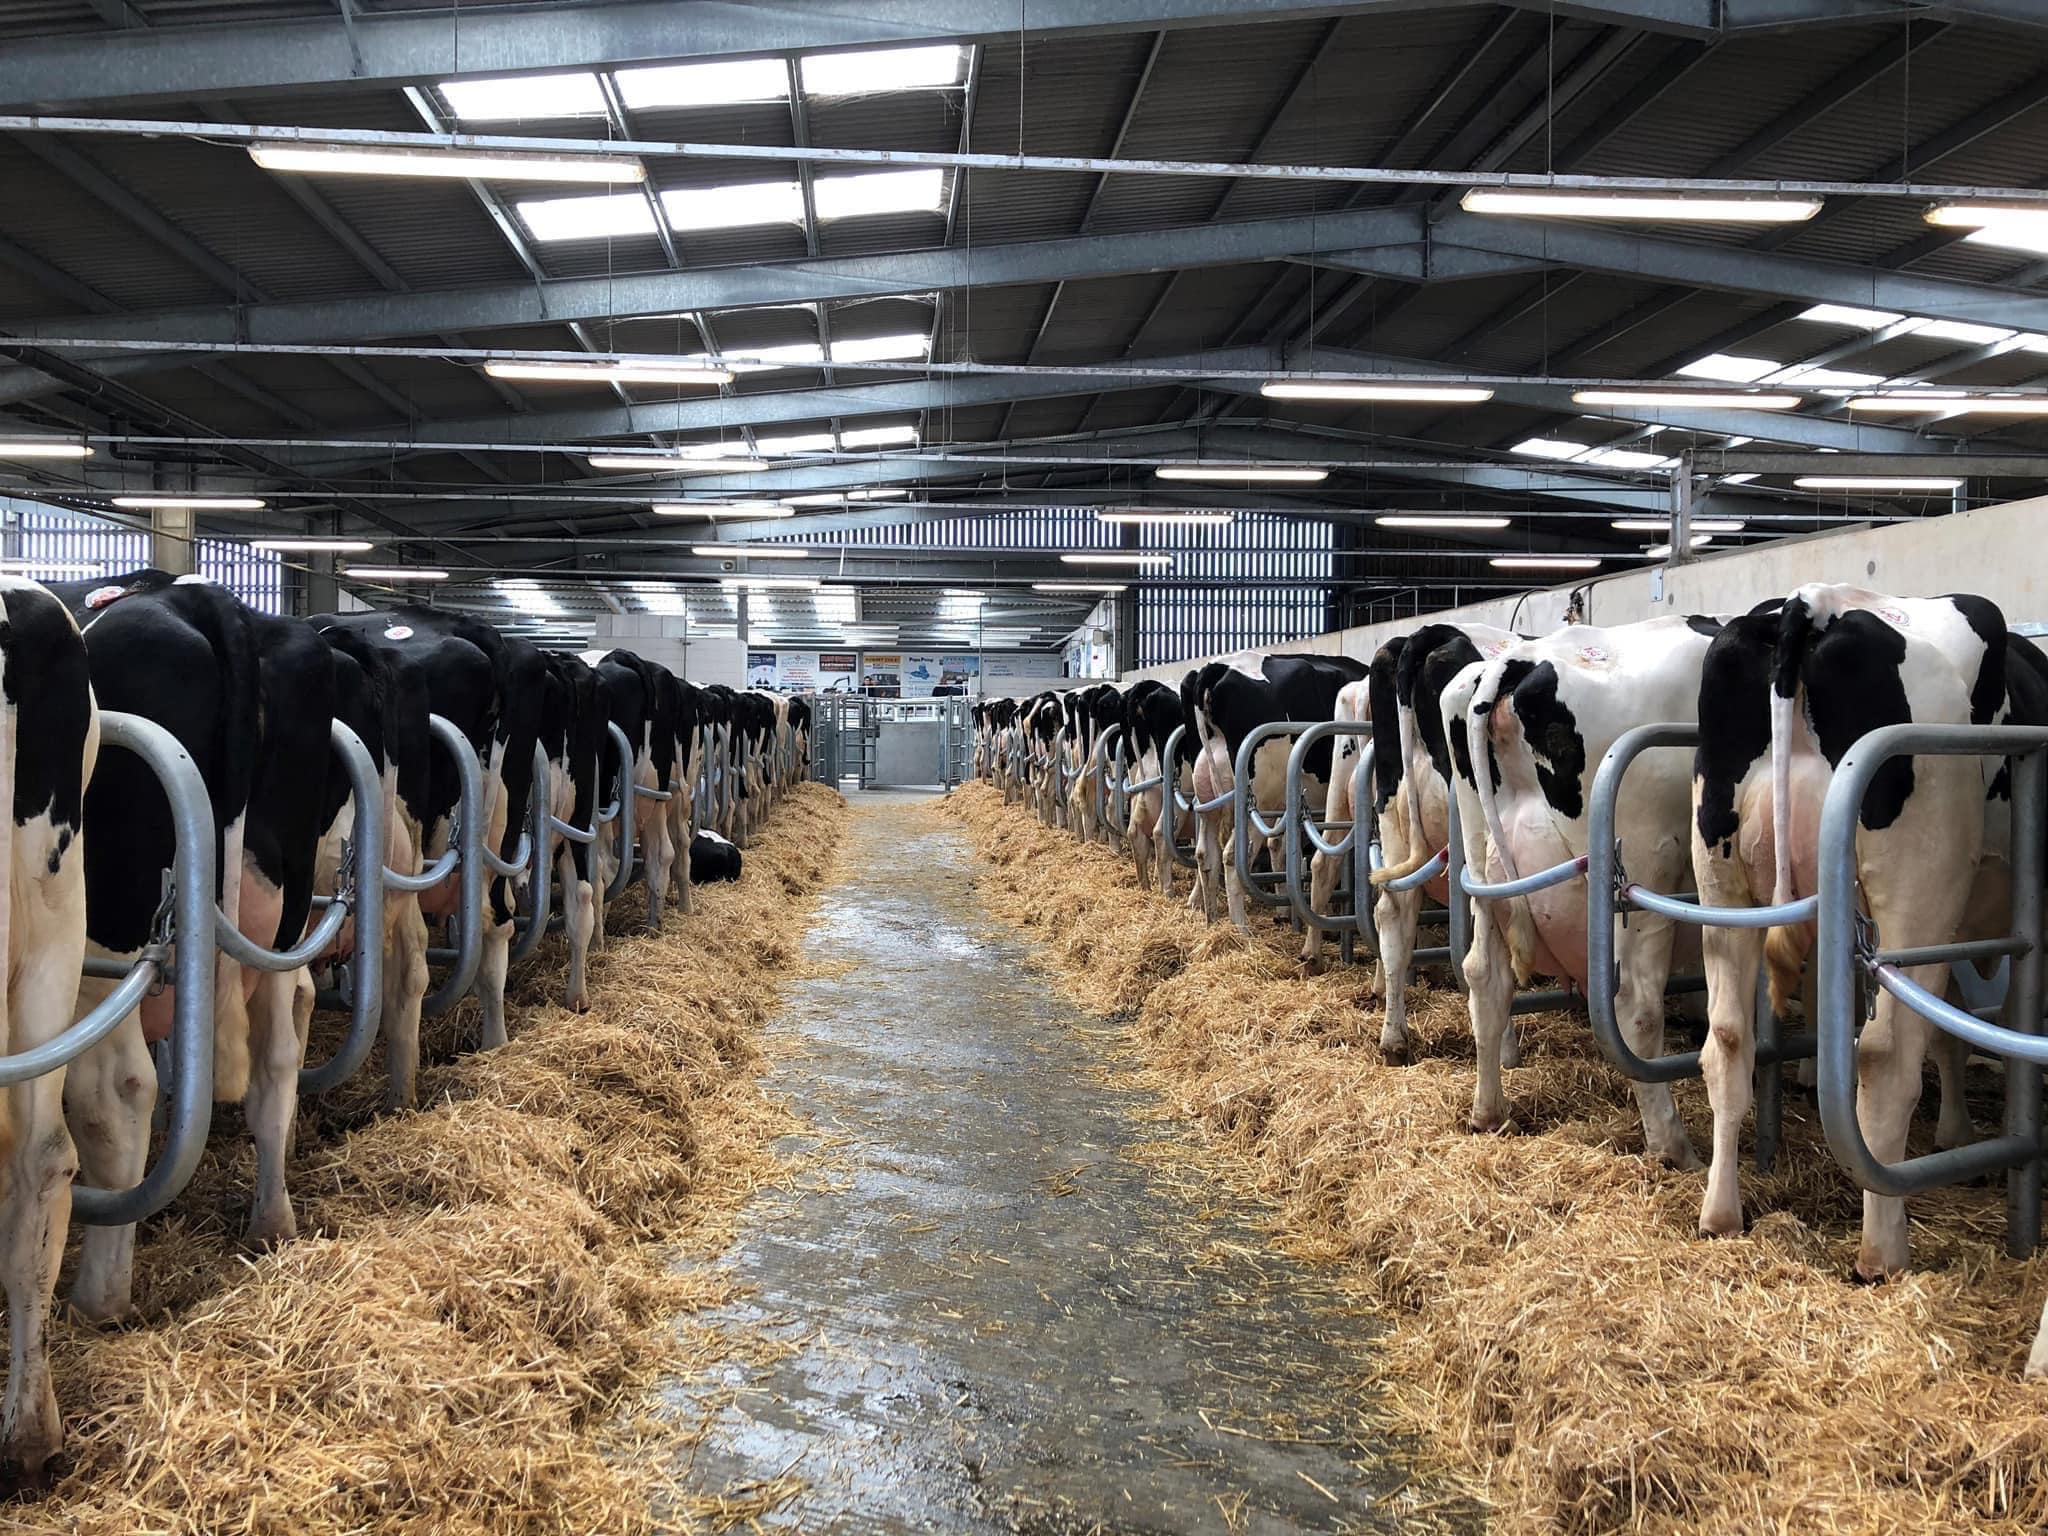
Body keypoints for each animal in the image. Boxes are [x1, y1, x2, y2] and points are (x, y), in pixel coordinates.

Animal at [1187, 655, 1359, 933]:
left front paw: (1285, 912)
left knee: (1206, 853)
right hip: (1257, 800)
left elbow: (1279, 846)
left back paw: (1211, 920)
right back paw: (1240, 928)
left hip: (1209, 796)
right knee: (1233, 856)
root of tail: (1217, 667)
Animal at [1449, 618, 1720, 1163]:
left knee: (1485, 977)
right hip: (1644, 866)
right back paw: (1673, 1147)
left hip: (1484, 870)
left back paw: (1489, 1115)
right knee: (1635, 1006)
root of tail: (1521, 663)